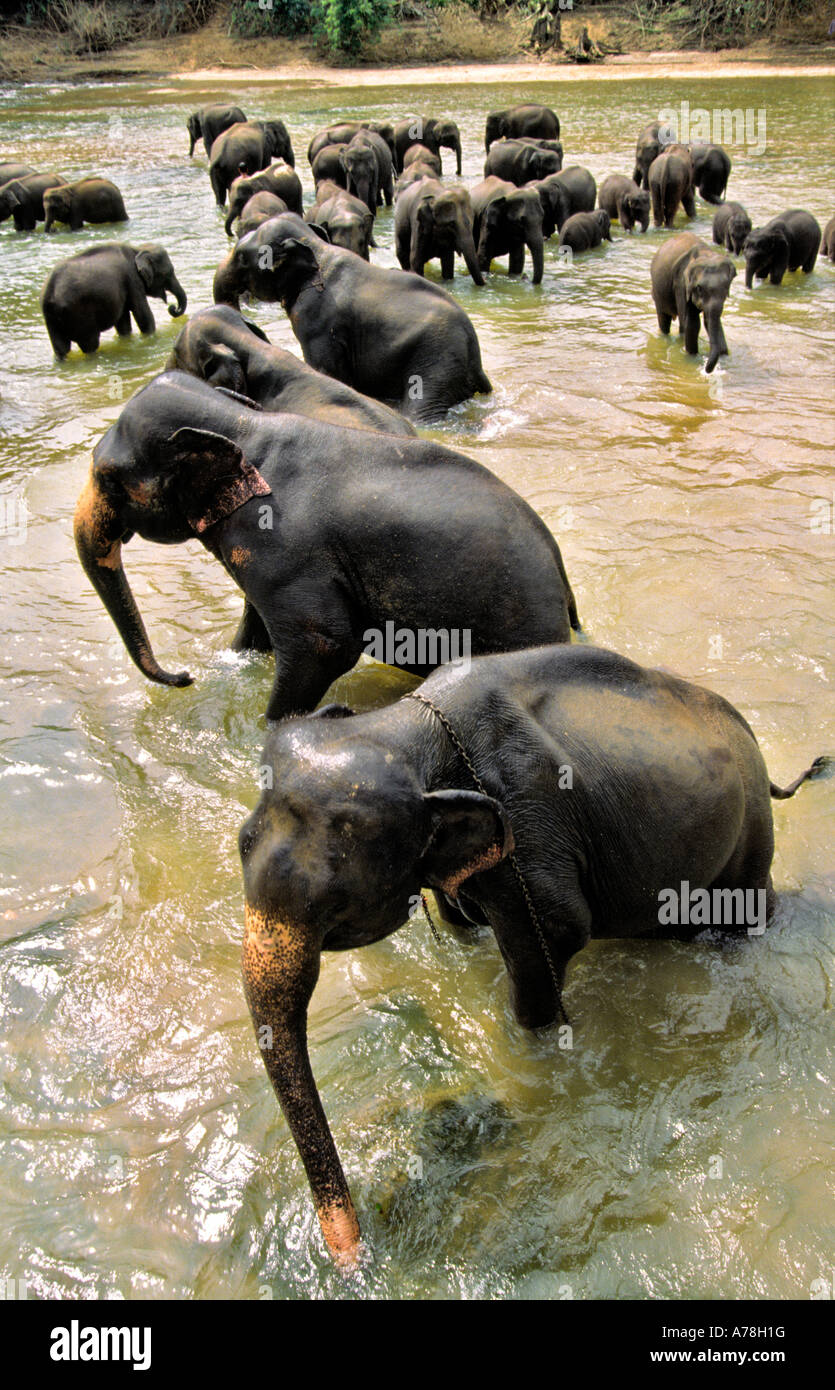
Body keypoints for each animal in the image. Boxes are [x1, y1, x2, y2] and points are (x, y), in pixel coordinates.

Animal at [41, 242, 187, 358]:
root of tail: (50, 295)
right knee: (90, 344)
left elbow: (123, 323)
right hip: (80, 314)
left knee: (61, 348)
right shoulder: (132, 279)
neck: (137, 249)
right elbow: (143, 315)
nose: (173, 307)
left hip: (51, 320)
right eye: (168, 272)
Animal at [73, 370, 579, 718]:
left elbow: (324, 642)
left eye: (109, 479)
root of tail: (561, 577)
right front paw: (229, 665)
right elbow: (256, 629)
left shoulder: (283, 547)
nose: (184, 676)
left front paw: (271, 726)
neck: (244, 425)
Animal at [213, 213, 493, 422]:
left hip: (436, 361)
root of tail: (475, 360)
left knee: (422, 409)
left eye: (242, 258)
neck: (315, 246)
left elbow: (327, 370)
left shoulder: (318, 324)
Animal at [237, 642, 827, 1263]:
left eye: (334, 904)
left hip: (749, 840)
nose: (353, 1256)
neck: (409, 728)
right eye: (240, 845)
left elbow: (554, 937)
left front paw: (530, 1055)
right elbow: (462, 921)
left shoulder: (532, 828)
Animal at [651, 232, 736, 374]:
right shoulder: (680, 283)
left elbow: (710, 321)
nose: (707, 370)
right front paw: (693, 357)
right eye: (699, 288)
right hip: (658, 293)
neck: (705, 254)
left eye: (725, 289)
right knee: (664, 320)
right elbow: (692, 323)